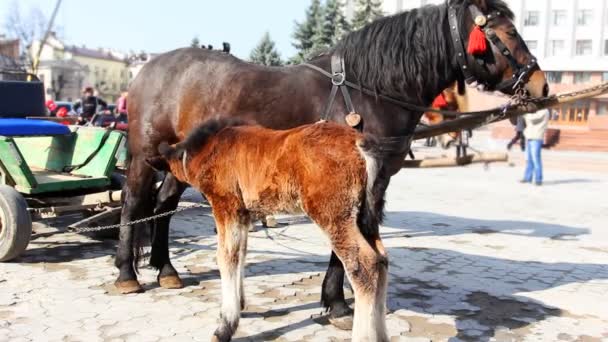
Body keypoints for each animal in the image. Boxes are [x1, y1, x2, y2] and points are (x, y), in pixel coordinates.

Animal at [116, 0, 548, 326]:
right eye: (508, 33)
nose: (541, 83)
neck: (369, 89)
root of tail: (147, 67)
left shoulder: (373, 183)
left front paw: (338, 298)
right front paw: (338, 303)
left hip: (182, 164)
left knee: (164, 205)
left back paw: (165, 269)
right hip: (145, 156)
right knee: (134, 204)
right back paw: (127, 273)